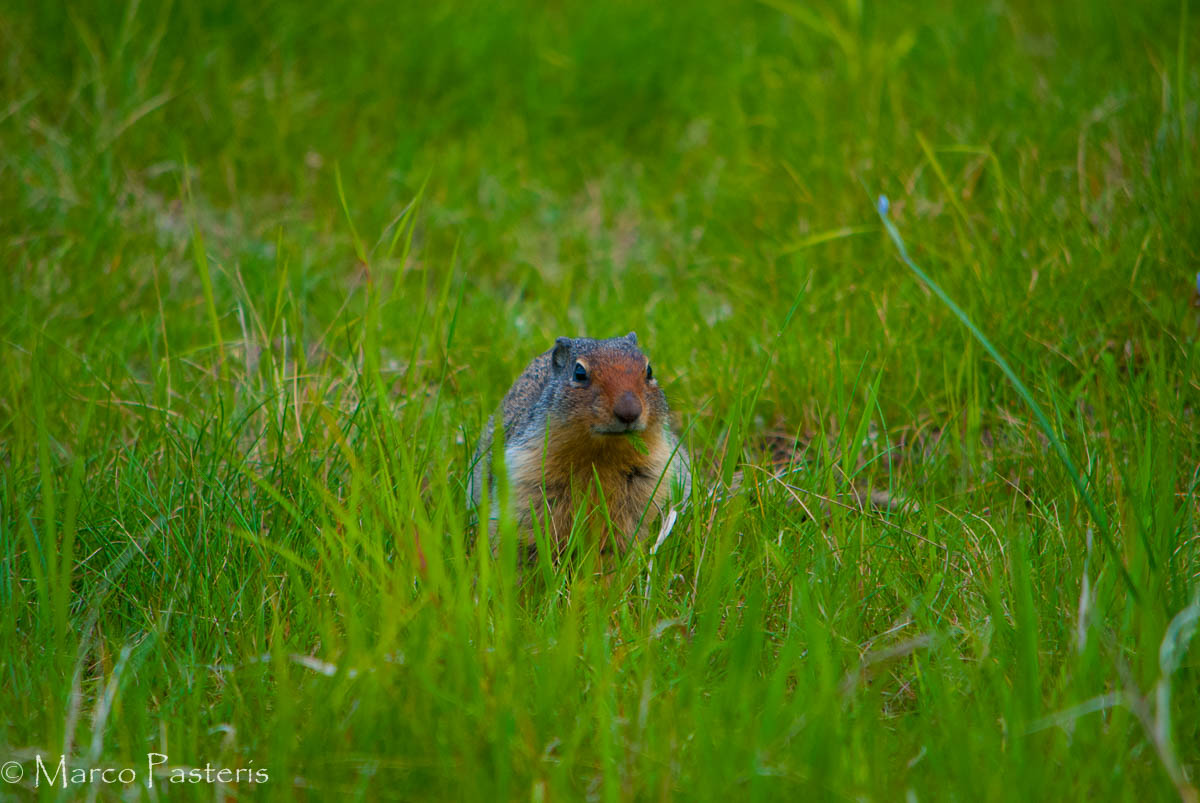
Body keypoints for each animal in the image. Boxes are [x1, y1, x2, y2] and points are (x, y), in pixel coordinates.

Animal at [469, 332, 691, 558]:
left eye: (649, 370)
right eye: (579, 372)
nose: (629, 412)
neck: (602, 455)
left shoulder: (651, 478)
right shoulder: (527, 477)